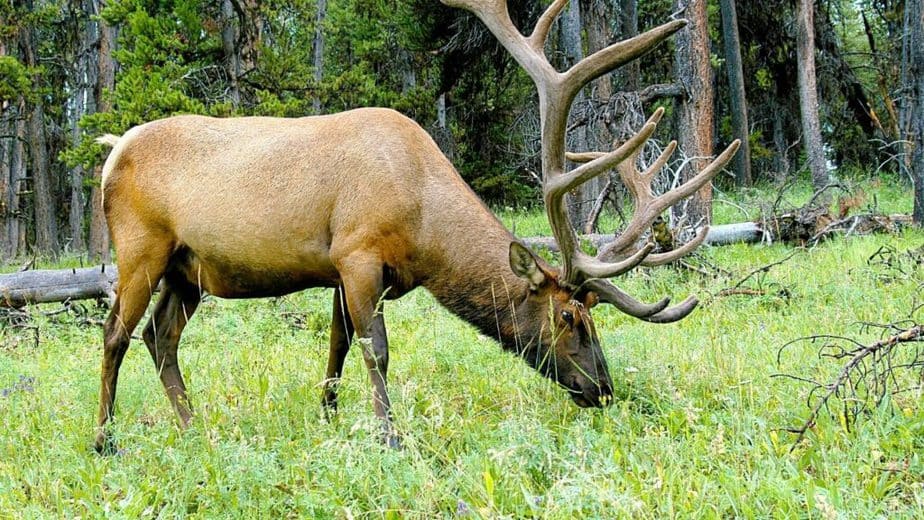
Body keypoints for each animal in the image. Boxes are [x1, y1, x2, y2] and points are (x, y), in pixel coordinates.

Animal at [94, 0, 740, 452]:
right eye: (568, 317)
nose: (602, 388)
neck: (425, 228)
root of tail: (110, 149)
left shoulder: (341, 271)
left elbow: (337, 347)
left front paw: (330, 420)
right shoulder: (357, 255)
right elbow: (375, 351)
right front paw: (391, 438)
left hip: (187, 270)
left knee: (160, 337)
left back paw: (193, 427)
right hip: (141, 249)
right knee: (115, 334)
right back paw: (106, 440)